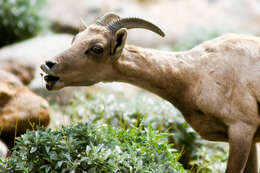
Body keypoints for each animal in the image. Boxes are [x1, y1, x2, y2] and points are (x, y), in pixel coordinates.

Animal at [40, 12, 260, 173]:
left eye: (97, 48)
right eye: (75, 38)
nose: (49, 65)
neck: (196, 74)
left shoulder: (241, 130)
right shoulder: (247, 139)